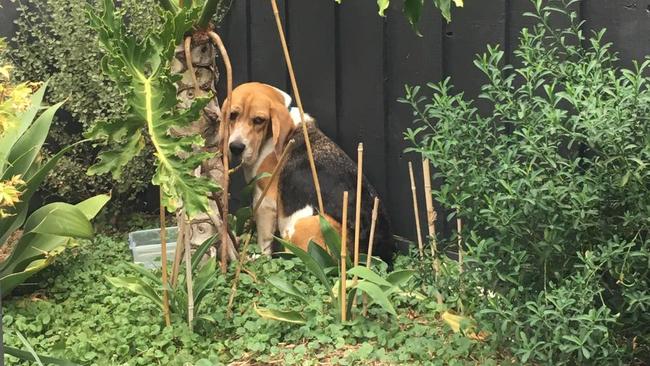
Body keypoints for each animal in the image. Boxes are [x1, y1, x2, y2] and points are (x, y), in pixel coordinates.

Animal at [223, 81, 394, 264]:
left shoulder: (265, 202)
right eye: (232, 115)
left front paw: (259, 258)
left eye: (259, 120)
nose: (236, 147)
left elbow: (264, 241)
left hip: (301, 226)